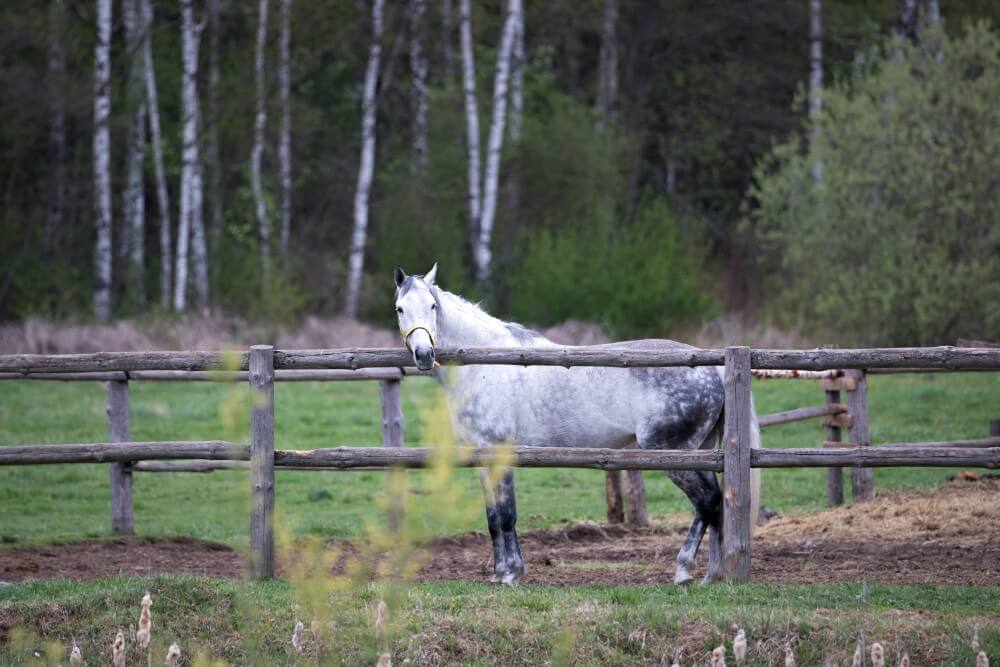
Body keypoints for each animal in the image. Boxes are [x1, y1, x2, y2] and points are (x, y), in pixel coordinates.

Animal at [394, 264, 760, 584]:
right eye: (400, 309)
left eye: (432, 305)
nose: (424, 355)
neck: (486, 367)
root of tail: (714, 368)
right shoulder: (483, 460)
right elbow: (493, 518)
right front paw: (499, 574)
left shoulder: (501, 454)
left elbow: (507, 515)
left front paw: (512, 574)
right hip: (699, 452)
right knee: (713, 503)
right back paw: (710, 574)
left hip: (672, 454)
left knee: (707, 501)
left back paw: (686, 572)